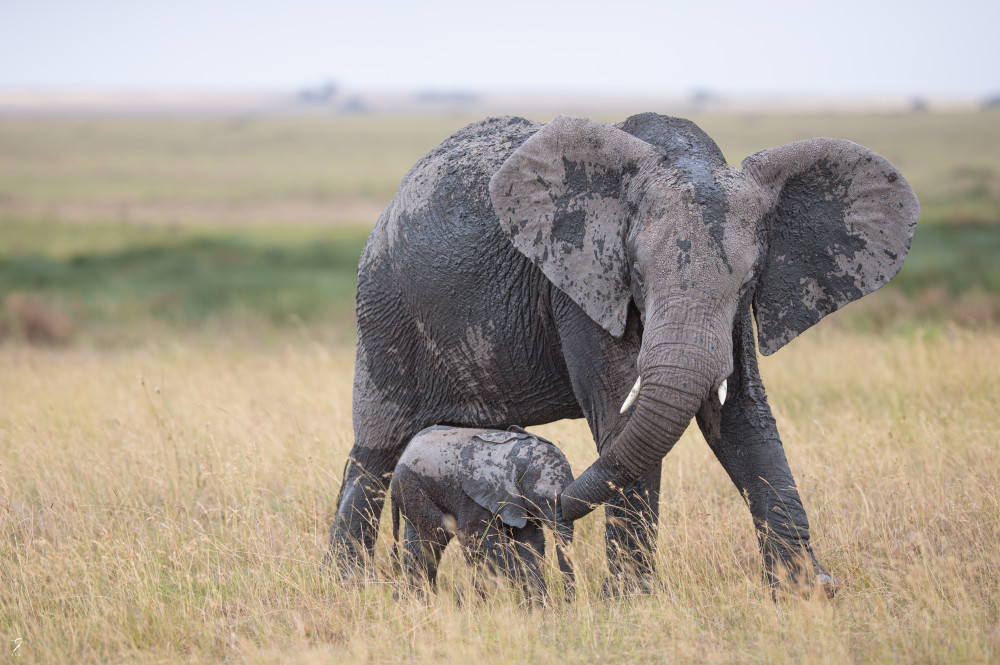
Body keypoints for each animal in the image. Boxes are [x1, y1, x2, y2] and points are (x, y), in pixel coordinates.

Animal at [392, 422, 580, 604]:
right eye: (541, 499)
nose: (568, 603)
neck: (514, 456)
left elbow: (529, 541)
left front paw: (537, 606)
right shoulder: (474, 496)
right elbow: (477, 540)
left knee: (416, 543)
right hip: (413, 485)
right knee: (433, 539)